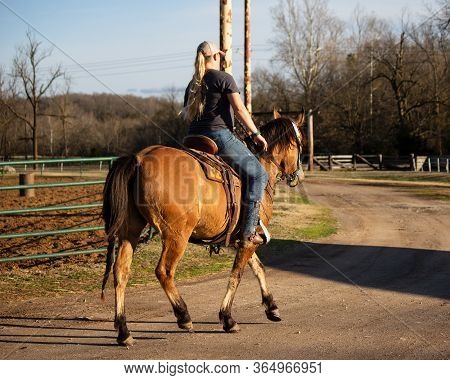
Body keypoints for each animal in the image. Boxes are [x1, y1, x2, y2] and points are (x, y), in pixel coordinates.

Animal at [101, 109, 306, 344]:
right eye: (301, 141)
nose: (299, 175)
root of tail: (139, 158)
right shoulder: (248, 240)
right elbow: (236, 275)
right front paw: (227, 318)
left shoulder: (243, 239)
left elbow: (258, 268)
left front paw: (271, 307)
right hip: (176, 236)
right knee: (164, 271)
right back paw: (183, 316)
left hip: (130, 231)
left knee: (121, 271)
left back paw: (124, 330)